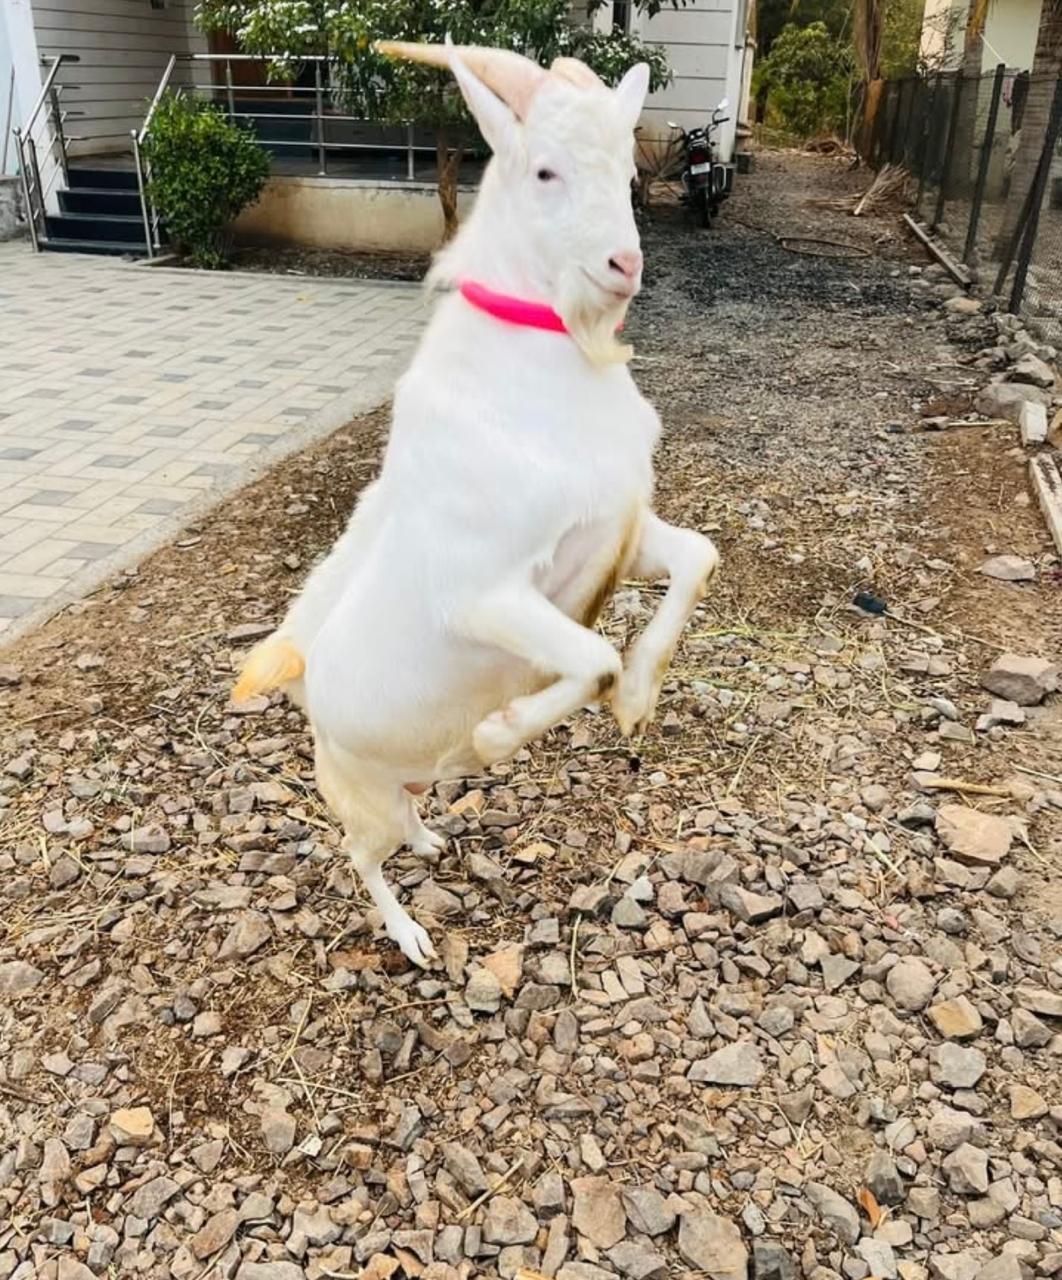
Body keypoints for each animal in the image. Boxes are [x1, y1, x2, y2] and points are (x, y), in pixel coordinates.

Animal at [234, 41, 720, 966]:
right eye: (544, 170)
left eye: (628, 175)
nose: (625, 267)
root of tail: (307, 692)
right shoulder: (485, 594)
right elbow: (589, 656)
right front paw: (500, 733)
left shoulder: (613, 535)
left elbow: (697, 558)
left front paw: (639, 698)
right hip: (362, 793)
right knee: (361, 854)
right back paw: (412, 933)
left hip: (401, 778)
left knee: (406, 820)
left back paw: (433, 836)